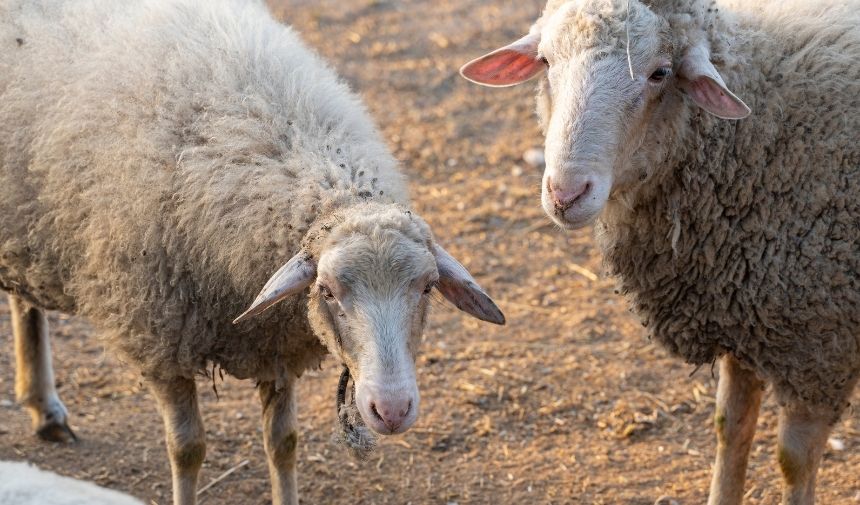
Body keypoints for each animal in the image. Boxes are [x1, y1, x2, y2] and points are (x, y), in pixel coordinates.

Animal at [464, 0, 860, 504]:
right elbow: (730, 429)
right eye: (547, 62)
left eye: (660, 73)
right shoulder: (741, 315)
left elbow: (793, 460)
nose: (565, 194)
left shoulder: (820, 348)